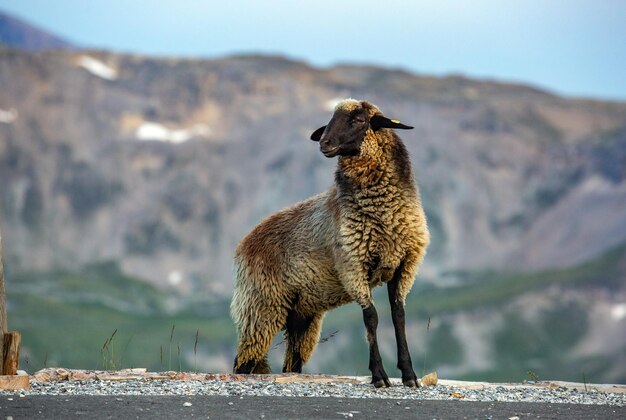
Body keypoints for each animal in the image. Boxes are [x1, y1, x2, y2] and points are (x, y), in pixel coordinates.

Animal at [230, 98, 428, 388]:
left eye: (359, 120)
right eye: (330, 120)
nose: (324, 143)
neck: (383, 213)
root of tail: (244, 243)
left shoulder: (404, 265)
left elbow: (398, 316)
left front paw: (409, 375)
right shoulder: (353, 266)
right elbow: (371, 318)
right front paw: (379, 376)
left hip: (301, 315)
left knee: (292, 361)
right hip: (261, 305)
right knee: (244, 360)